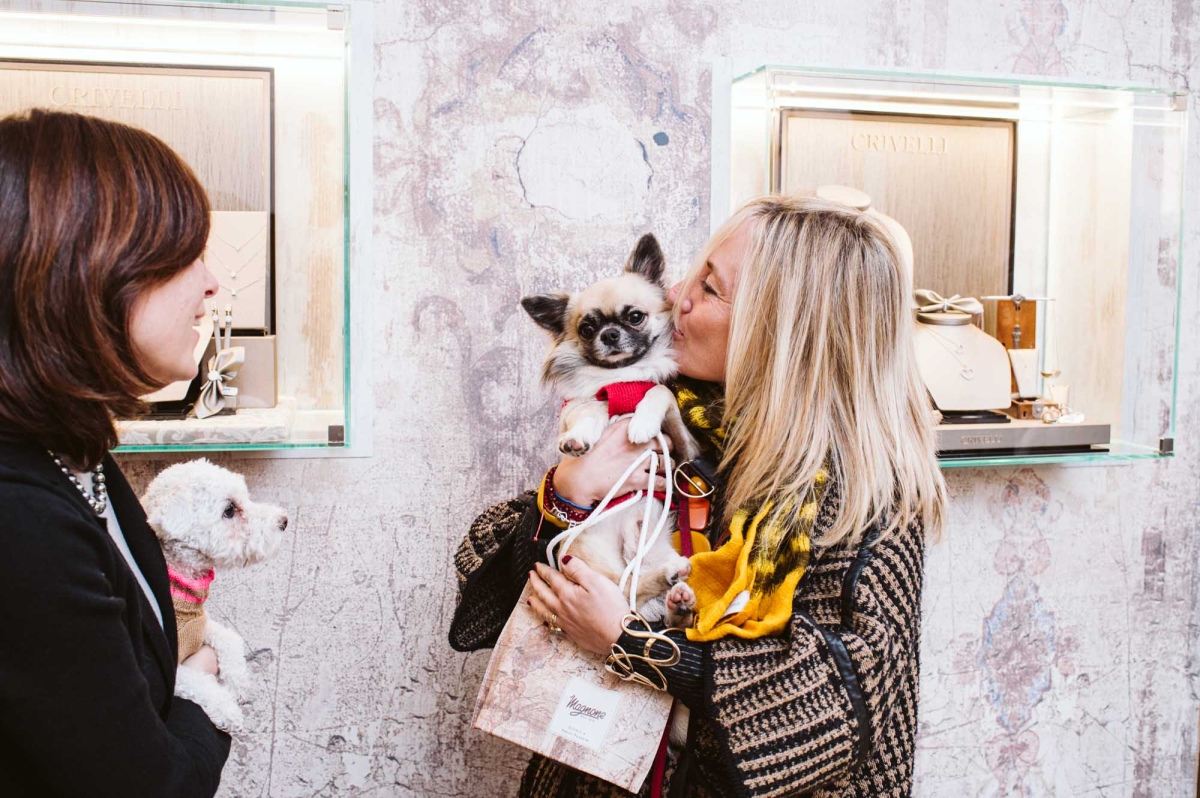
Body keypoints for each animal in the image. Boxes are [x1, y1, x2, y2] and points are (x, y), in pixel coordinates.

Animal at [142, 459, 288, 732]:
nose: (283, 521)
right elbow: (198, 682)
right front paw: (227, 709)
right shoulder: (171, 673)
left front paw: (238, 682)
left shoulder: (201, 625)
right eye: (229, 509)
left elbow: (230, 639)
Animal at [521, 233, 699, 627]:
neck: (621, 379)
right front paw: (578, 440)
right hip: (590, 550)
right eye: (587, 329)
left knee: (644, 596)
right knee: (625, 585)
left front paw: (642, 422)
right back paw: (673, 587)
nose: (610, 334)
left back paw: (678, 598)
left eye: (635, 317)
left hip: (653, 546)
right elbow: (590, 409)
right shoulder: (576, 407)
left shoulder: (682, 447)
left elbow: (658, 392)